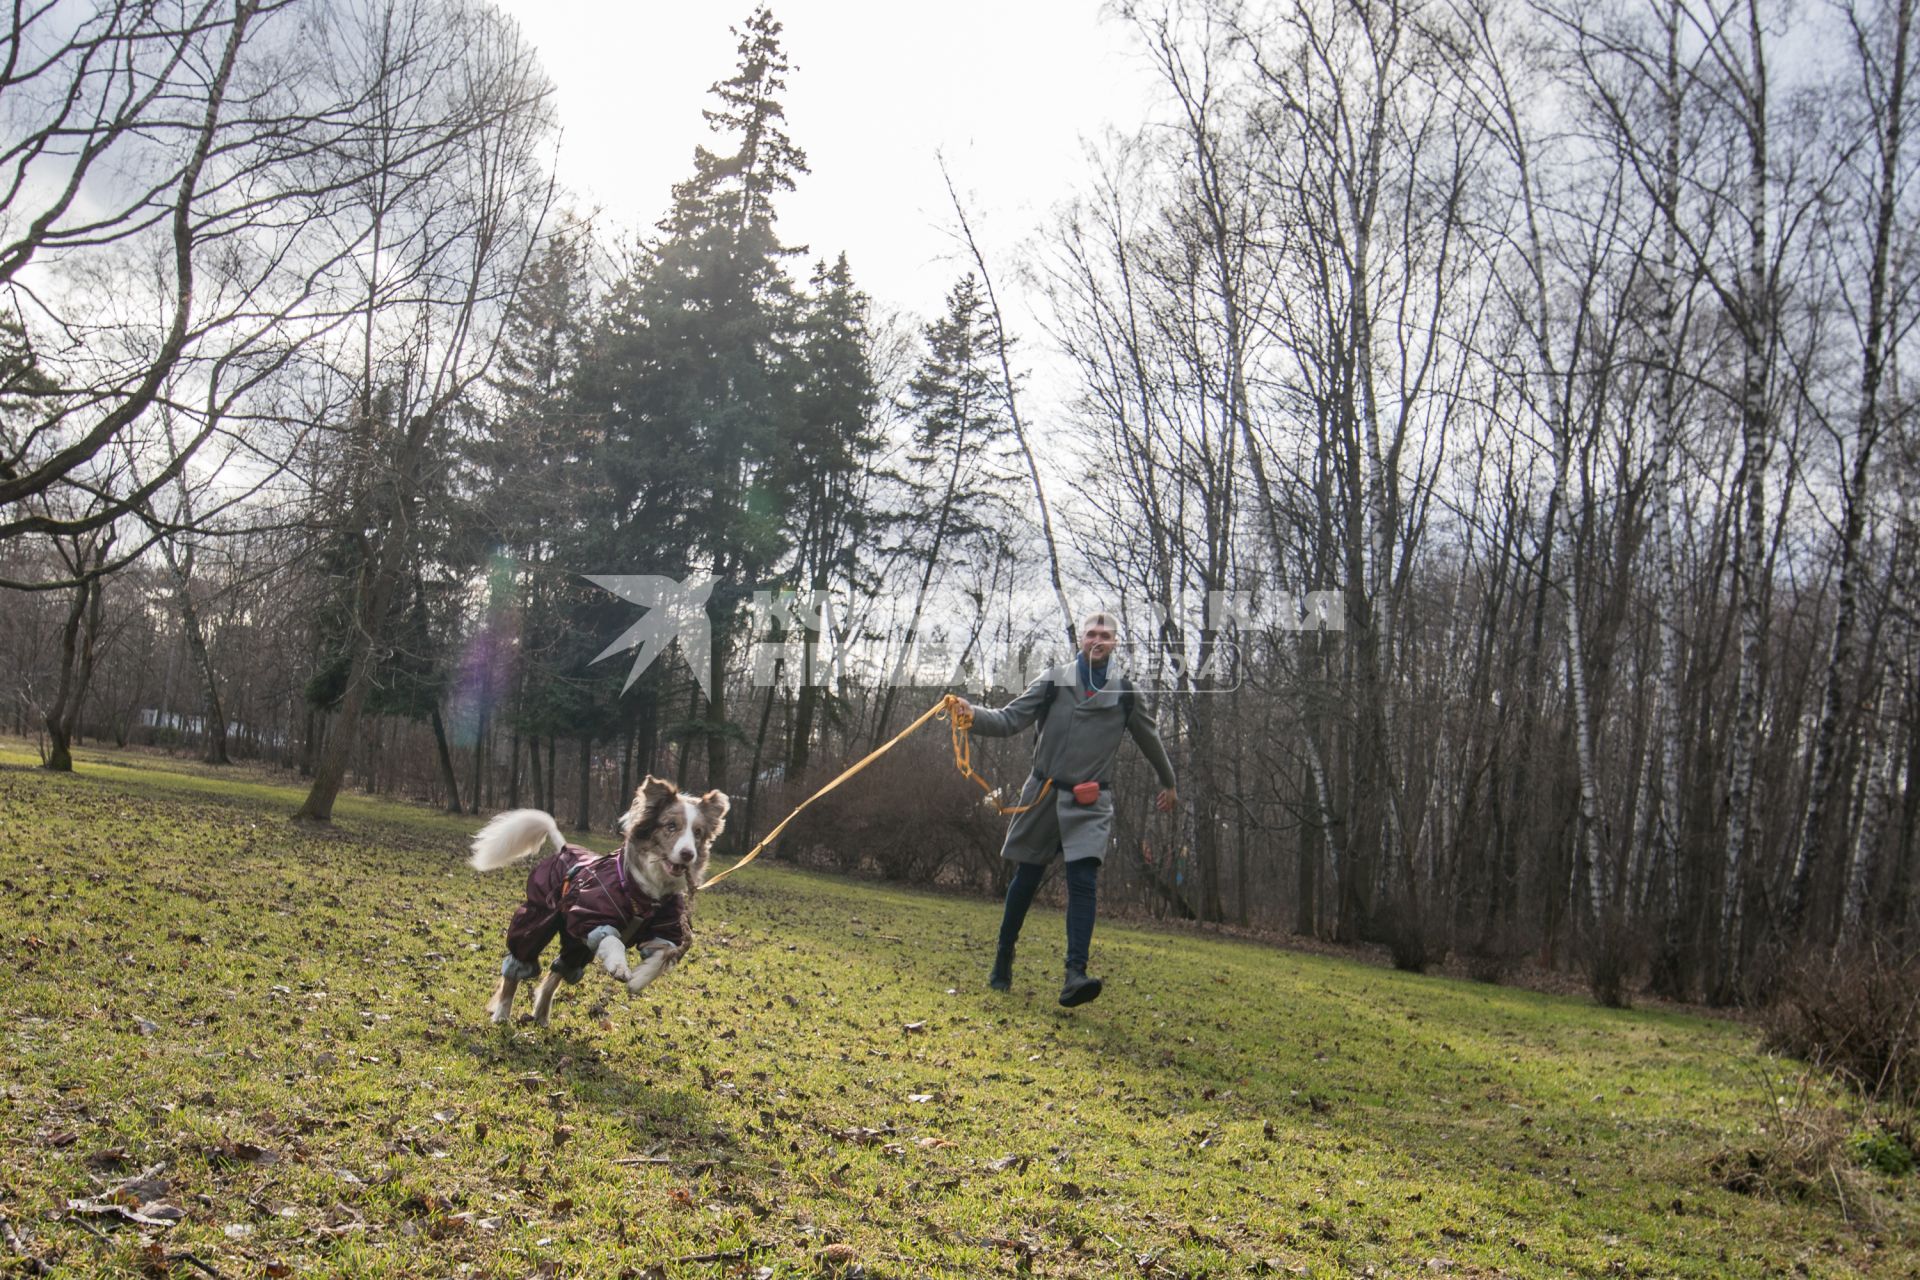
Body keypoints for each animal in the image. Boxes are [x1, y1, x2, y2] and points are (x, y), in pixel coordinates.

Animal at [470, 775, 725, 1028]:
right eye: (671, 826)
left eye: (698, 833)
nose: (688, 854)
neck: (645, 891)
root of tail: (565, 849)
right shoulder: (590, 915)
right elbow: (613, 941)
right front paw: (619, 966)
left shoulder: (663, 932)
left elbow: (663, 957)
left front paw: (638, 979)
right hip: (538, 919)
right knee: (518, 964)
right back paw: (502, 1013)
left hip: (576, 946)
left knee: (556, 973)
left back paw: (541, 1016)